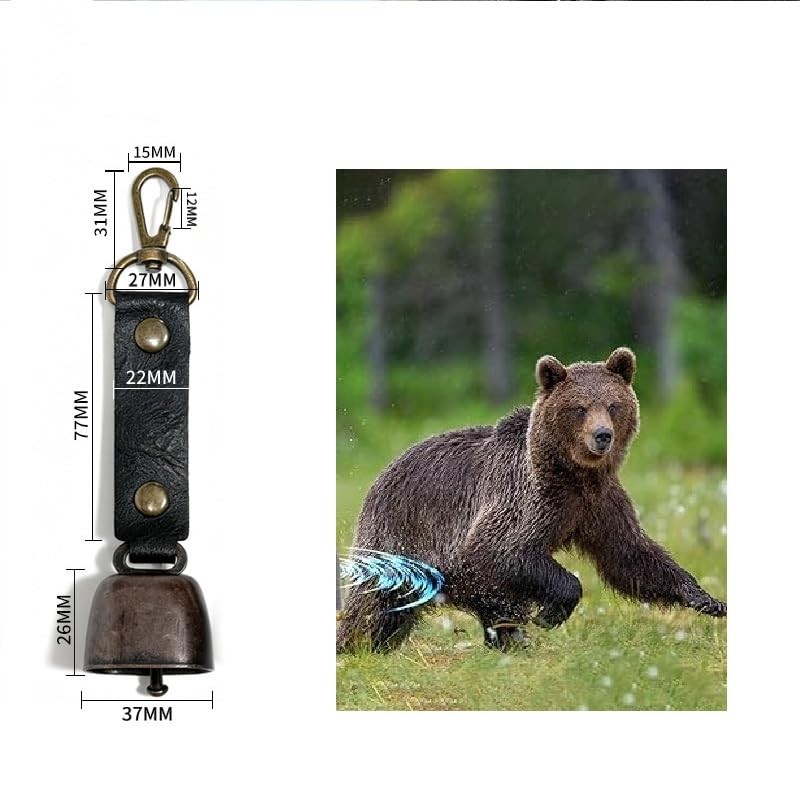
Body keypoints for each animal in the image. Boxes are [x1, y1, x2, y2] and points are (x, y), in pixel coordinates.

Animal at [336, 347, 726, 653]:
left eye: (613, 405)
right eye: (580, 408)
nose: (602, 436)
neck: (573, 475)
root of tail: (382, 475)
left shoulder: (599, 503)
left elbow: (629, 554)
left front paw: (706, 599)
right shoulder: (525, 500)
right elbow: (503, 550)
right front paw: (550, 613)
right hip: (404, 533)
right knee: (374, 606)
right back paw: (354, 644)